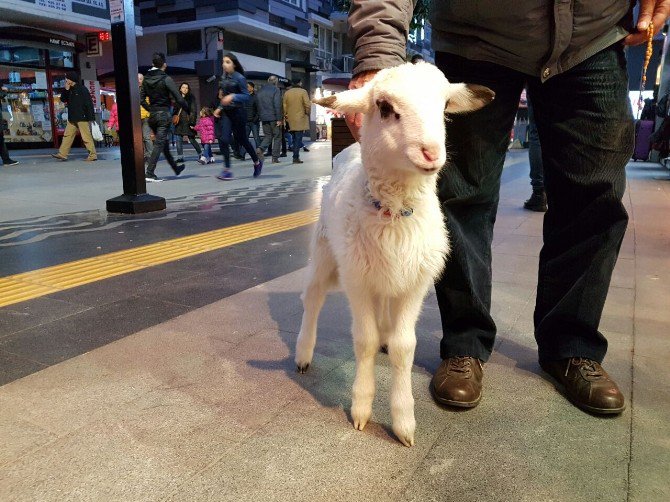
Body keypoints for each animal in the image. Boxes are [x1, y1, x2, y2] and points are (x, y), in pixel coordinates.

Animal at [296, 63, 496, 448]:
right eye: (385, 107)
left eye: (445, 105)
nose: (432, 153)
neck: (394, 211)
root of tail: (349, 150)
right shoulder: (356, 279)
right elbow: (364, 340)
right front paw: (361, 409)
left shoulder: (415, 283)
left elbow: (405, 346)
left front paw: (404, 421)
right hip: (326, 249)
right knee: (312, 297)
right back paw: (303, 354)